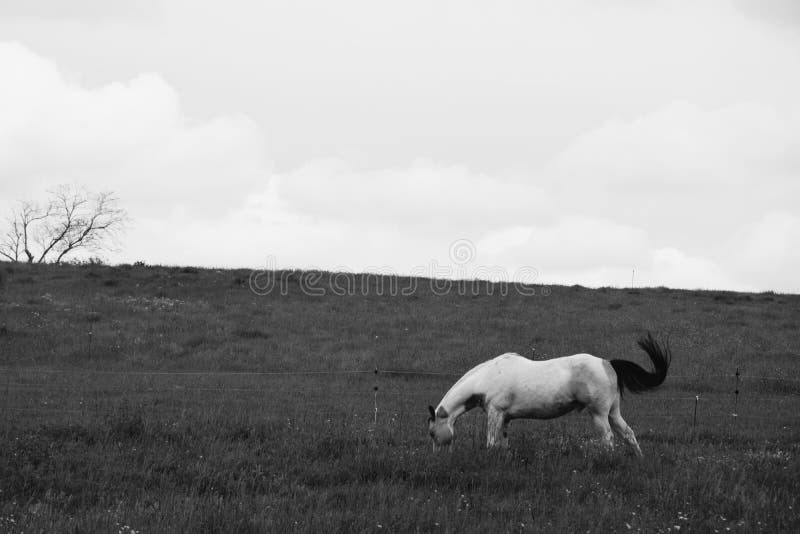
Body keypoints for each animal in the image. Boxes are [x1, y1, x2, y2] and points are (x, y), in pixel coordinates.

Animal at [428, 332, 672, 458]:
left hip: (599, 415)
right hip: (613, 412)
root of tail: (608, 363)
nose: (437, 457)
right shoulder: (505, 418)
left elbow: (490, 443)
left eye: (431, 433)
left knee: (608, 439)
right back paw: (639, 459)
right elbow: (502, 444)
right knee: (628, 434)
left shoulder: (495, 414)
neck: (487, 377)